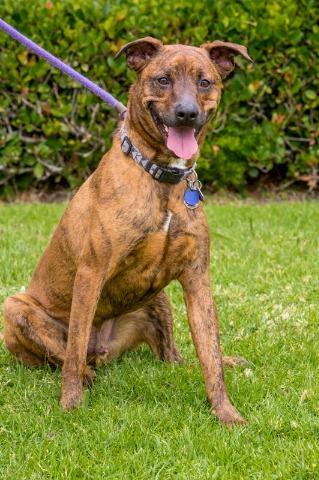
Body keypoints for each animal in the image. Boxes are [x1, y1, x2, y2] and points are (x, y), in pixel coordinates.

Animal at [2, 39, 252, 426]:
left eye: (205, 82)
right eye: (162, 79)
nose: (186, 113)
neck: (161, 176)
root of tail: (103, 350)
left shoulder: (197, 277)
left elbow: (210, 353)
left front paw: (225, 412)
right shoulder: (91, 272)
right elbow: (73, 349)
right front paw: (70, 404)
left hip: (158, 300)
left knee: (175, 358)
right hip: (14, 308)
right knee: (69, 355)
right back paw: (86, 374)